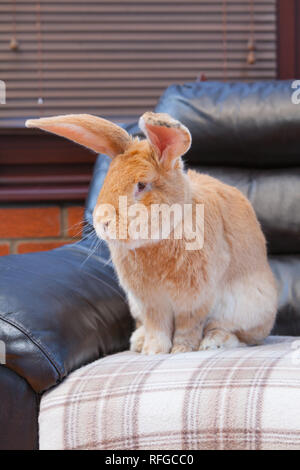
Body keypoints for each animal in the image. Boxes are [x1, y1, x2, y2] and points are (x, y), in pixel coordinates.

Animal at [27, 114, 278, 354]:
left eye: (141, 185)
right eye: (108, 180)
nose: (102, 222)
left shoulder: (195, 300)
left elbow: (189, 327)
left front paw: (181, 350)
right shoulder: (150, 302)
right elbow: (157, 327)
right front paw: (153, 351)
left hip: (249, 308)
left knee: (240, 336)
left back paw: (213, 343)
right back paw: (138, 342)